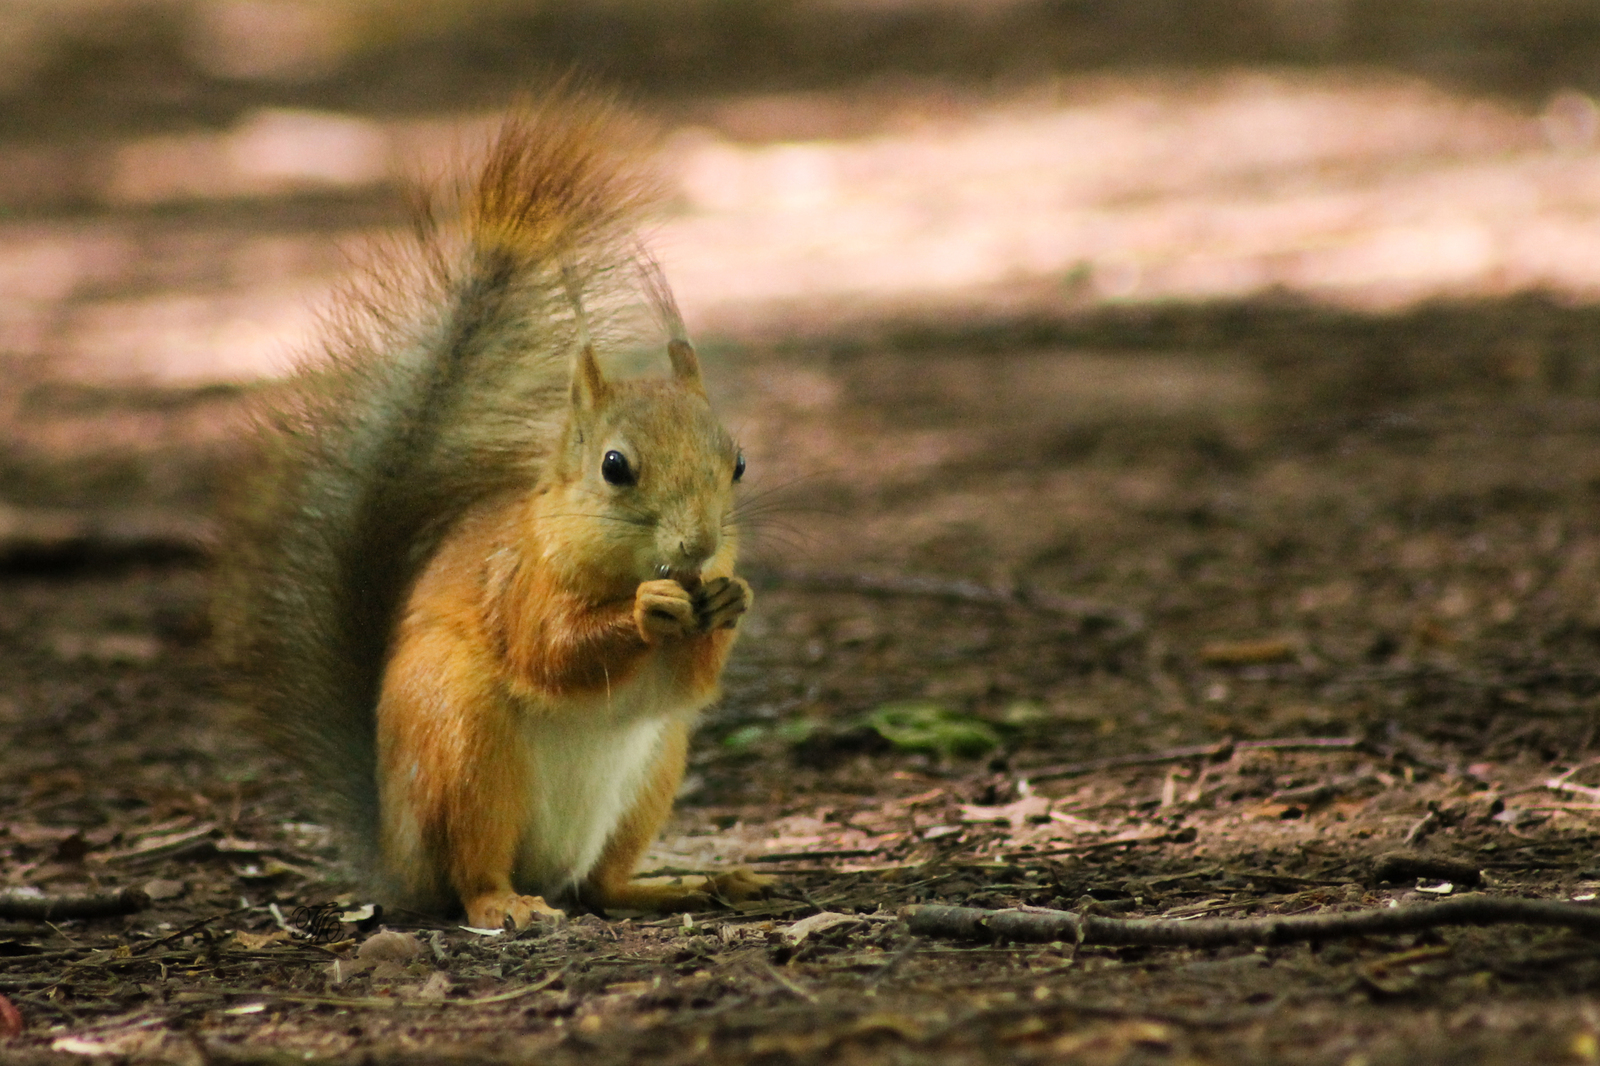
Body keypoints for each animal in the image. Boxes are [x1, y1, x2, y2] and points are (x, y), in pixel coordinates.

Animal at [222, 91, 771, 928]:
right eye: (615, 468)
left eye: (737, 463)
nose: (698, 547)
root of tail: (396, 856)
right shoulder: (520, 581)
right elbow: (549, 649)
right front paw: (647, 609)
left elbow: (691, 684)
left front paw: (732, 597)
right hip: (462, 743)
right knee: (473, 874)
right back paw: (508, 904)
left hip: (655, 771)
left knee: (601, 886)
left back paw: (683, 884)